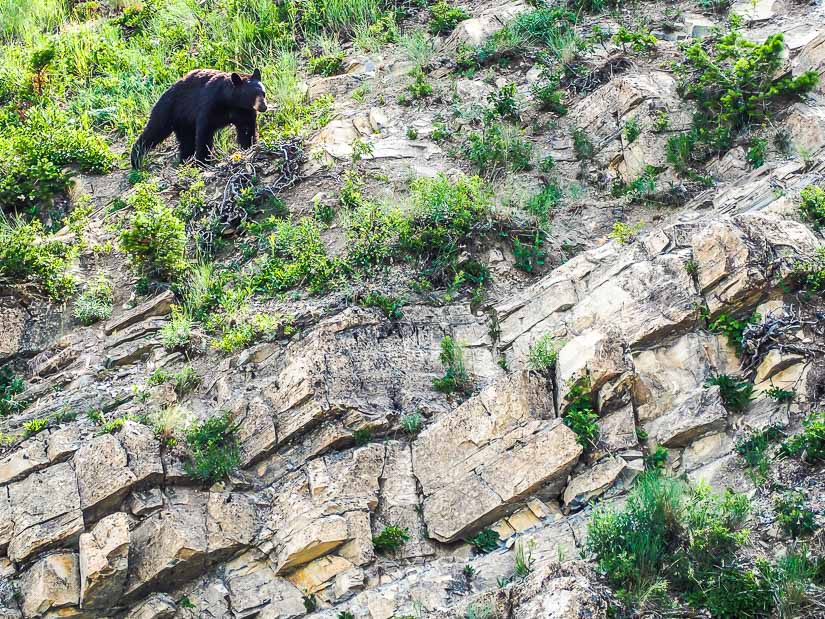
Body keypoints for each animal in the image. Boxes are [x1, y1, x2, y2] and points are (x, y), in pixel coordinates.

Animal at [130, 68, 268, 167]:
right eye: (252, 95)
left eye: (263, 93)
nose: (263, 106)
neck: (231, 102)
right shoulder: (210, 104)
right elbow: (204, 130)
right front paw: (203, 161)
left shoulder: (244, 111)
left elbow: (246, 129)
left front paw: (249, 147)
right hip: (169, 109)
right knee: (155, 129)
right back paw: (136, 158)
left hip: (184, 122)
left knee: (187, 142)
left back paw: (184, 160)